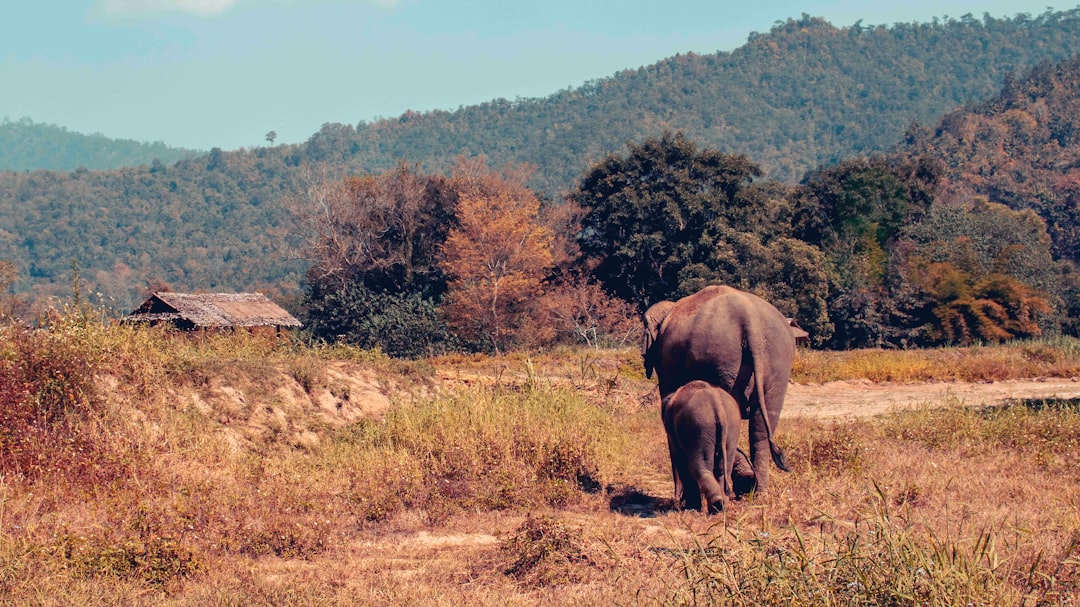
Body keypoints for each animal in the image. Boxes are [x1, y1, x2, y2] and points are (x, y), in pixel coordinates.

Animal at [639, 282, 803, 492]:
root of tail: (751, 321)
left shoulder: (665, 364)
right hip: (777, 360)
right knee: (762, 426)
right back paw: (759, 492)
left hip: (721, 359)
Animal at [660, 378, 747, 509]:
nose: (676, 501)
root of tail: (717, 405)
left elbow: (680, 459)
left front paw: (690, 507)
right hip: (731, 425)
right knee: (724, 466)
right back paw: (721, 504)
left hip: (700, 426)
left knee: (697, 465)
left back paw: (716, 504)